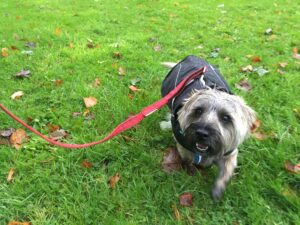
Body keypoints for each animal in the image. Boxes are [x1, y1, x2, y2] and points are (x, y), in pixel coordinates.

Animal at [161, 56, 256, 200]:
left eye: (226, 117)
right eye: (198, 111)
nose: (202, 133)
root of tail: (191, 56)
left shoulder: (230, 153)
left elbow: (227, 170)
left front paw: (218, 189)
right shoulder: (183, 146)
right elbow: (187, 159)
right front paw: (191, 170)